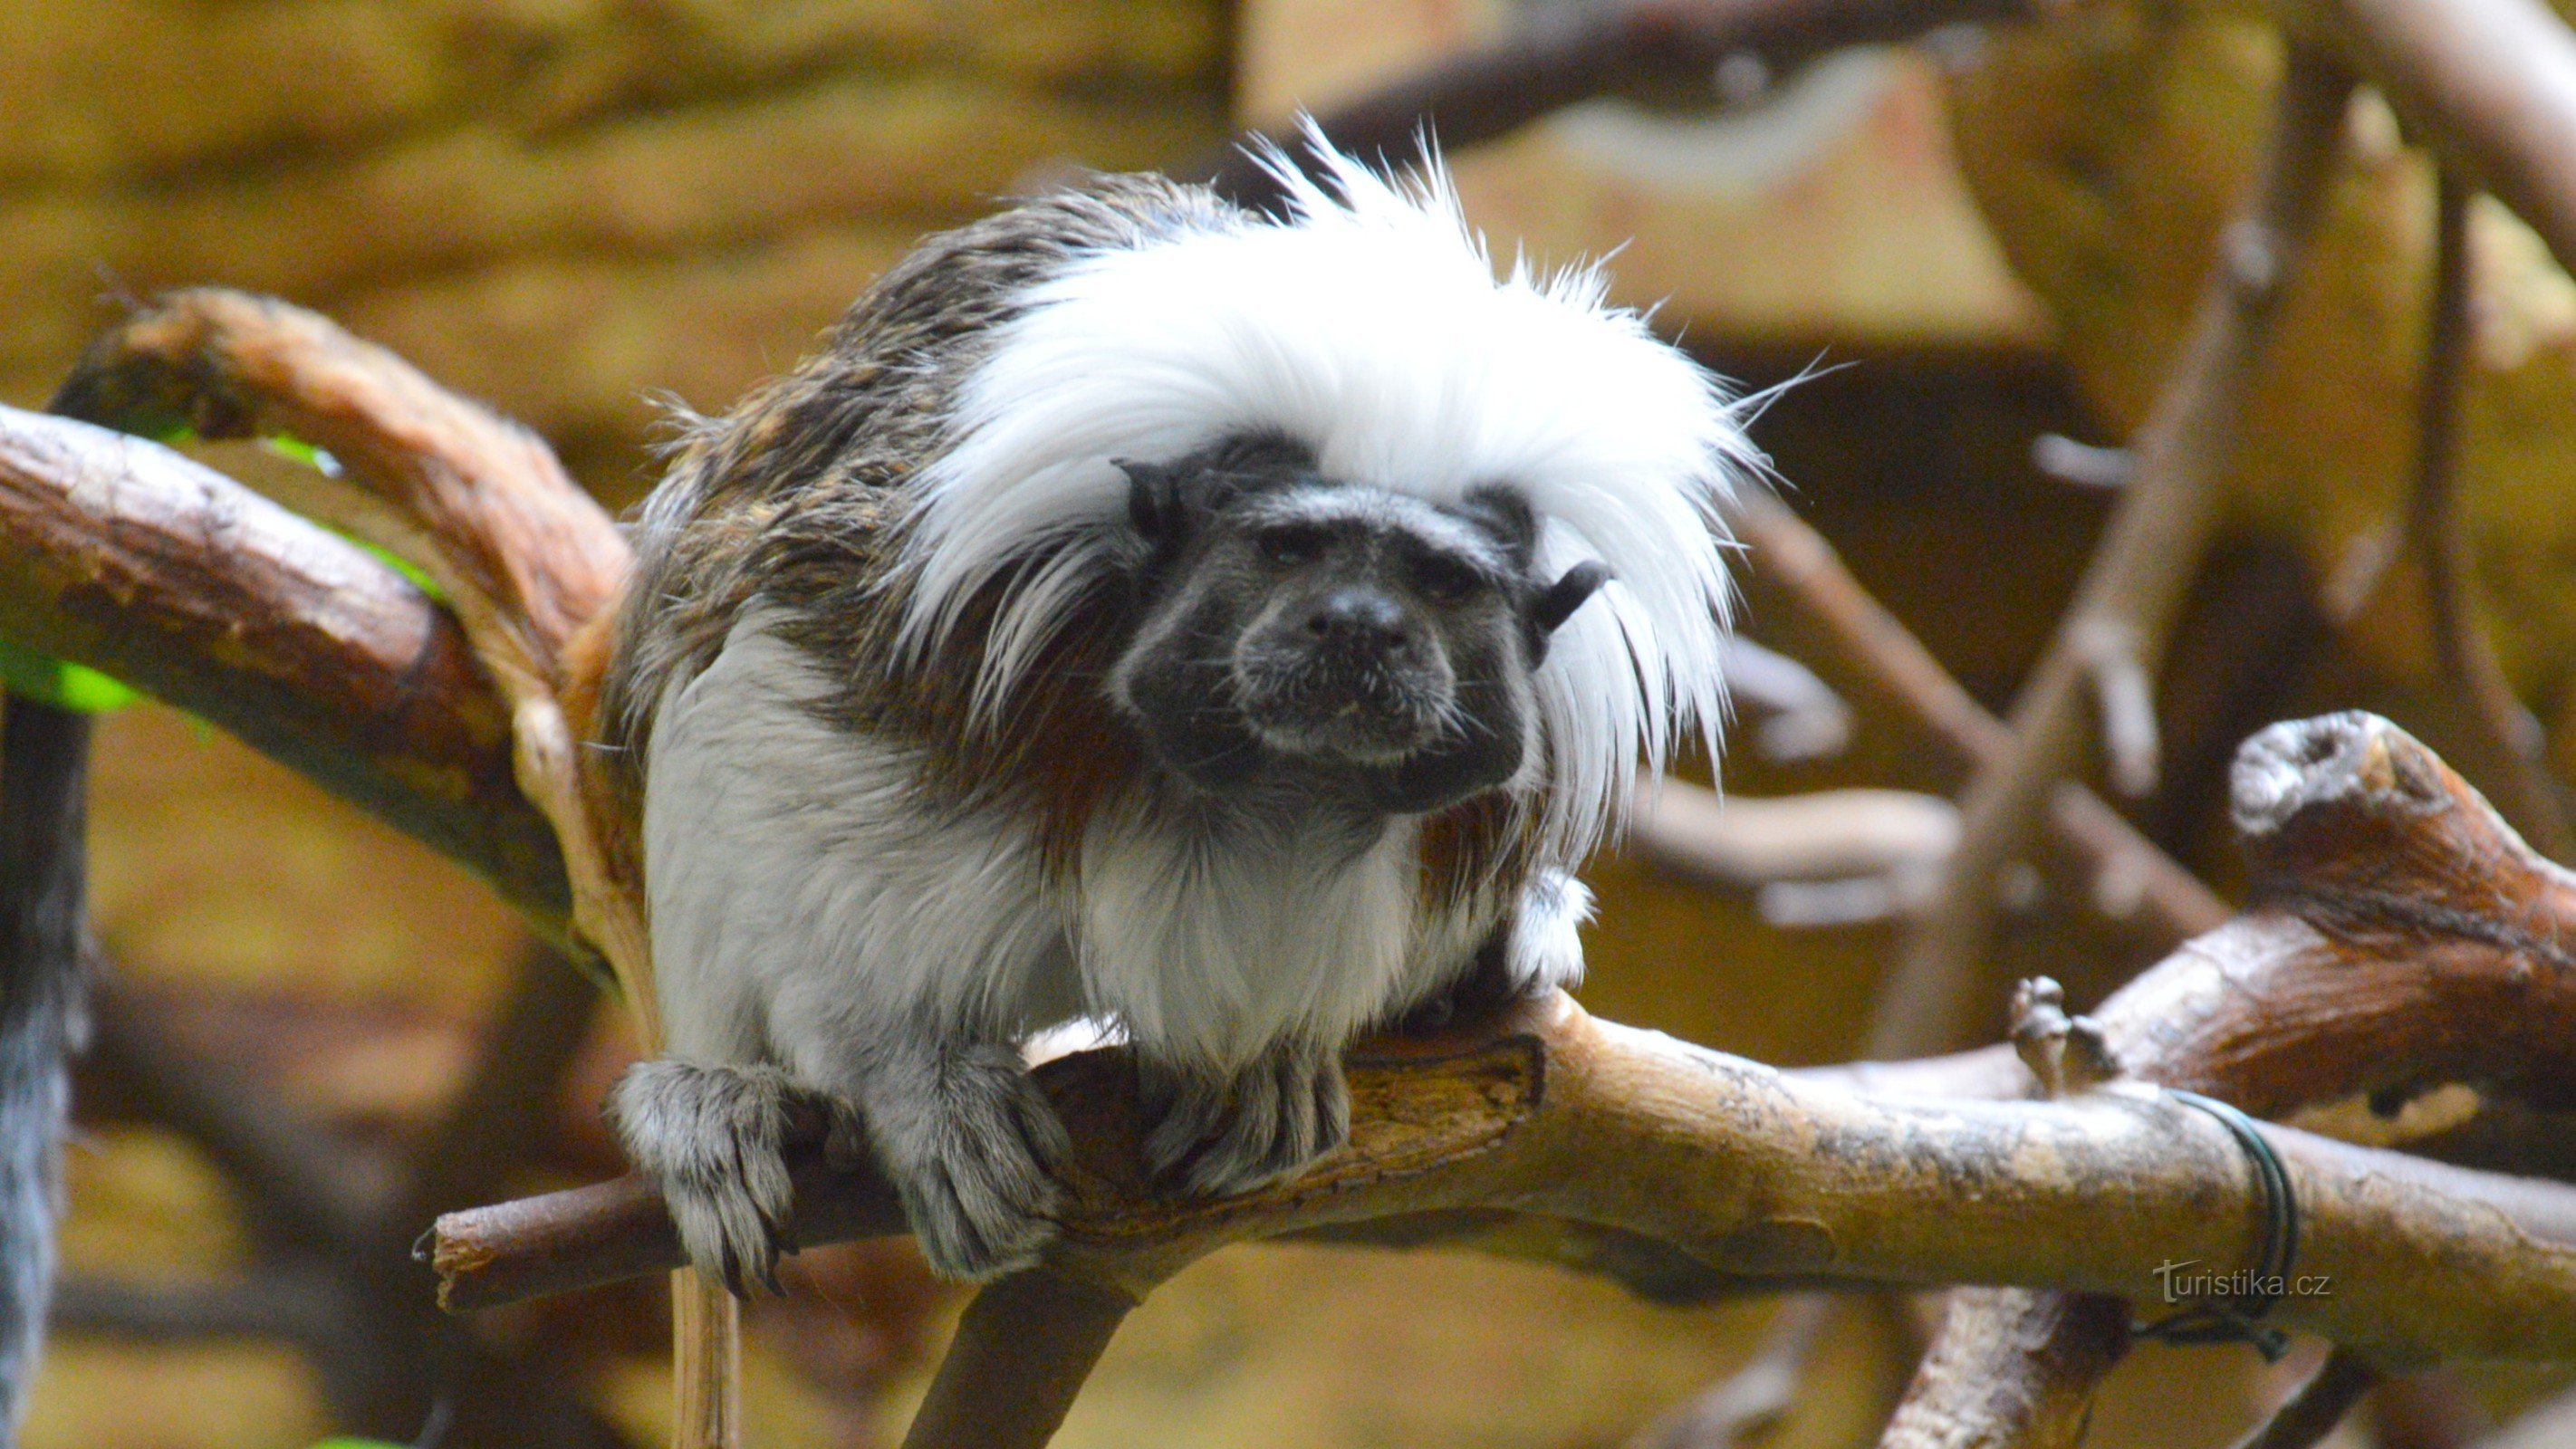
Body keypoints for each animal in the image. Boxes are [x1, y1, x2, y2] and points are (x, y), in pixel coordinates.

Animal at [602, 136, 1751, 1286]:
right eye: (1289, 549)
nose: (1360, 625)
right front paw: (912, 1079)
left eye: (1441, 581)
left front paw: (1270, 1066)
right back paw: (714, 1101)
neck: (1276, 792)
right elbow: (763, 757)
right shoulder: (912, 640)